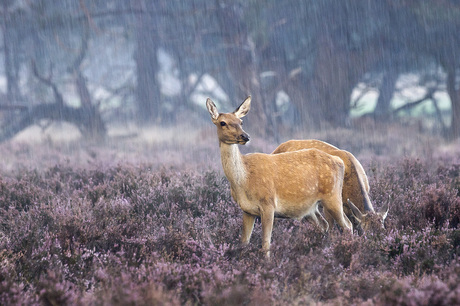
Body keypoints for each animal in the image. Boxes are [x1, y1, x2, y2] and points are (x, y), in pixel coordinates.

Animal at [205, 97, 352, 256]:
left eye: (241, 121)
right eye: (222, 122)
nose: (245, 136)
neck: (244, 181)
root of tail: (339, 161)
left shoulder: (268, 204)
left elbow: (265, 244)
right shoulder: (247, 210)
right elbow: (243, 242)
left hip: (333, 196)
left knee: (347, 225)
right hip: (311, 208)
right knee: (324, 225)